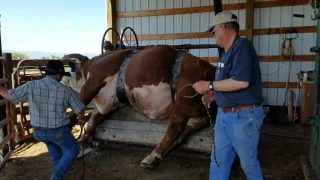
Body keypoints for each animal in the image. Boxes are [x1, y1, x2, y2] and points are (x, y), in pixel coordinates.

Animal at [61, 45, 219, 169]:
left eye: (71, 72)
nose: (64, 81)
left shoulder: (94, 80)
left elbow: (79, 103)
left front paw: (70, 124)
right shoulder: (108, 103)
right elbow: (95, 117)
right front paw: (84, 138)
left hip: (183, 97)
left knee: (176, 126)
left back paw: (150, 157)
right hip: (199, 113)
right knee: (184, 133)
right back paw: (156, 158)